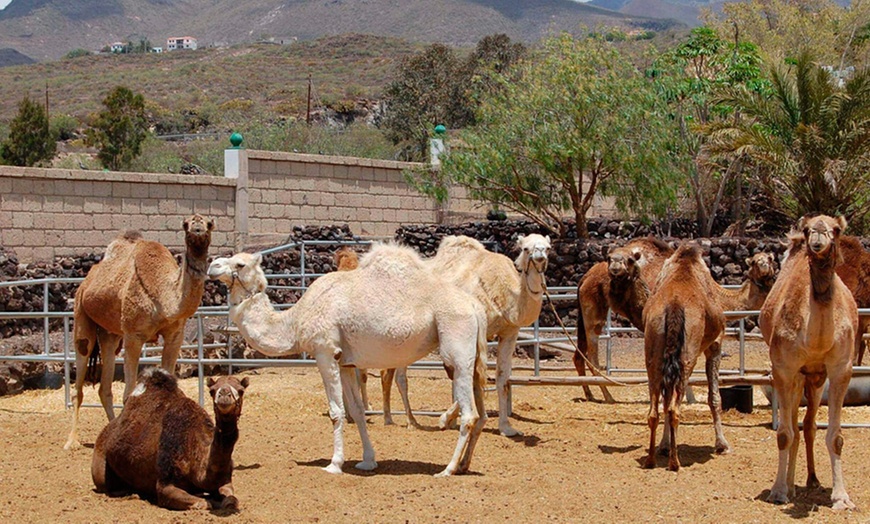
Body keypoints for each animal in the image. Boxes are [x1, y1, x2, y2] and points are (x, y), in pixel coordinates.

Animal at [207, 246, 488, 474]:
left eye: (240, 264)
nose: (212, 265)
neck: (296, 320)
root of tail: (475, 306)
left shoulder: (325, 352)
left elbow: (336, 411)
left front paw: (334, 464)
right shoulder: (345, 362)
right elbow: (358, 410)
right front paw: (368, 461)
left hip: (456, 348)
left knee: (470, 413)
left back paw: (447, 469)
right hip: (473, 359)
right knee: (481, 412)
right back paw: (463, 465)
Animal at [434, 235, 552, 436]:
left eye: (548, 247)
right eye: (526, 248)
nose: (539, 255)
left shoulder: (510, 332)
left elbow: (502, 377)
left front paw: (506, 427)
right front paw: (445, 419)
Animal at [576, 236, 676, 402]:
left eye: (630, 260)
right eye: (609, 258)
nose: (616, 265)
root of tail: (585, 277)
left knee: (579, 356)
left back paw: (590, 395)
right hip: (593, 314)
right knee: (591, 357)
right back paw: (608, 397)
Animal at [764, 215, 860, 510]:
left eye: (836, 229)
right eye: (807, 230)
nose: (817, 237)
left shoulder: (841, 370)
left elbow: (836, 436)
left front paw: (841, 497)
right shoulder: (783, 369)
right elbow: (784, 434)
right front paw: (779, 491)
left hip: (816, 379)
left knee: (808, 425)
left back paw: (813, 480)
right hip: (798, 377)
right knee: (795, 426)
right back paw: (791, 485)